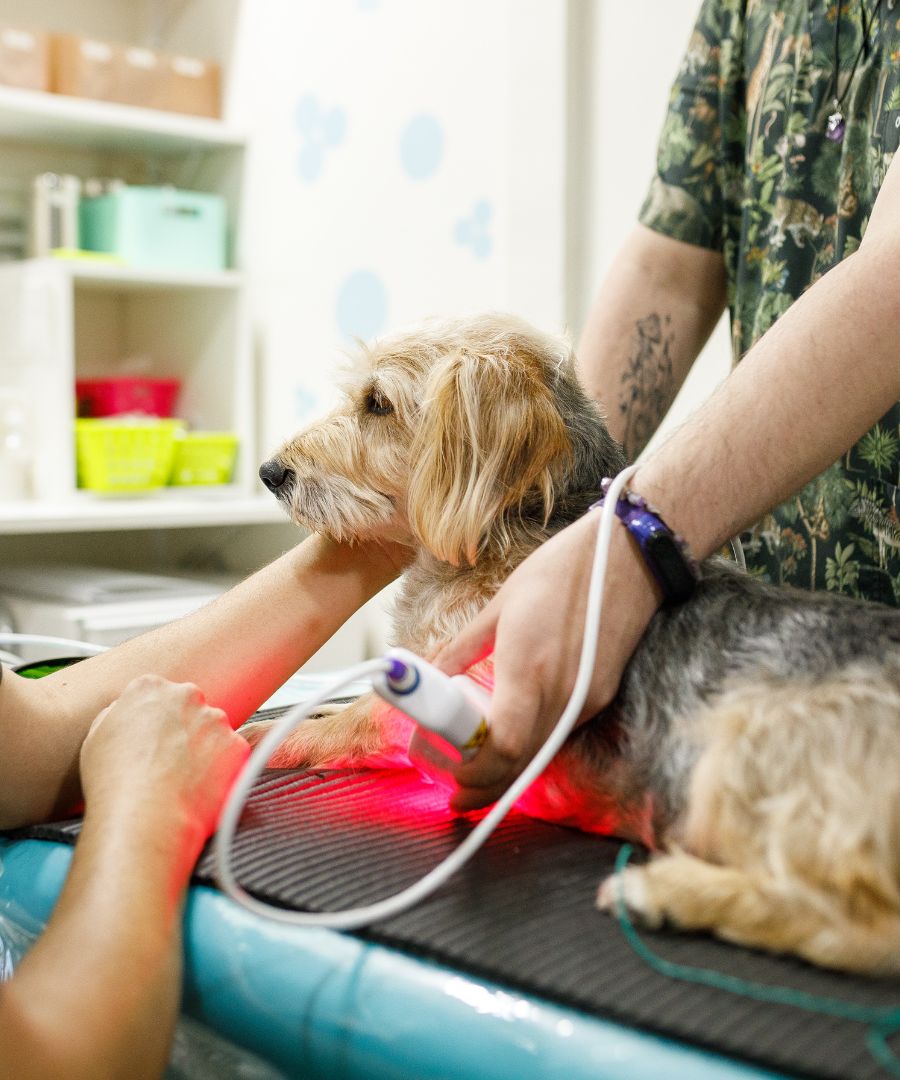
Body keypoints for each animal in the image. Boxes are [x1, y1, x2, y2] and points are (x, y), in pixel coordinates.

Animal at [249, 315, 898, 980]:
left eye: (377, 403)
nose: (271, 473)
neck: (511, 527)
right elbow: (339, 706)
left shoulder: (465, 687)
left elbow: (348, 722)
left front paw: (263, 738)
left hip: (746, 745)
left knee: (857, 925)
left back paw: (666, 892)